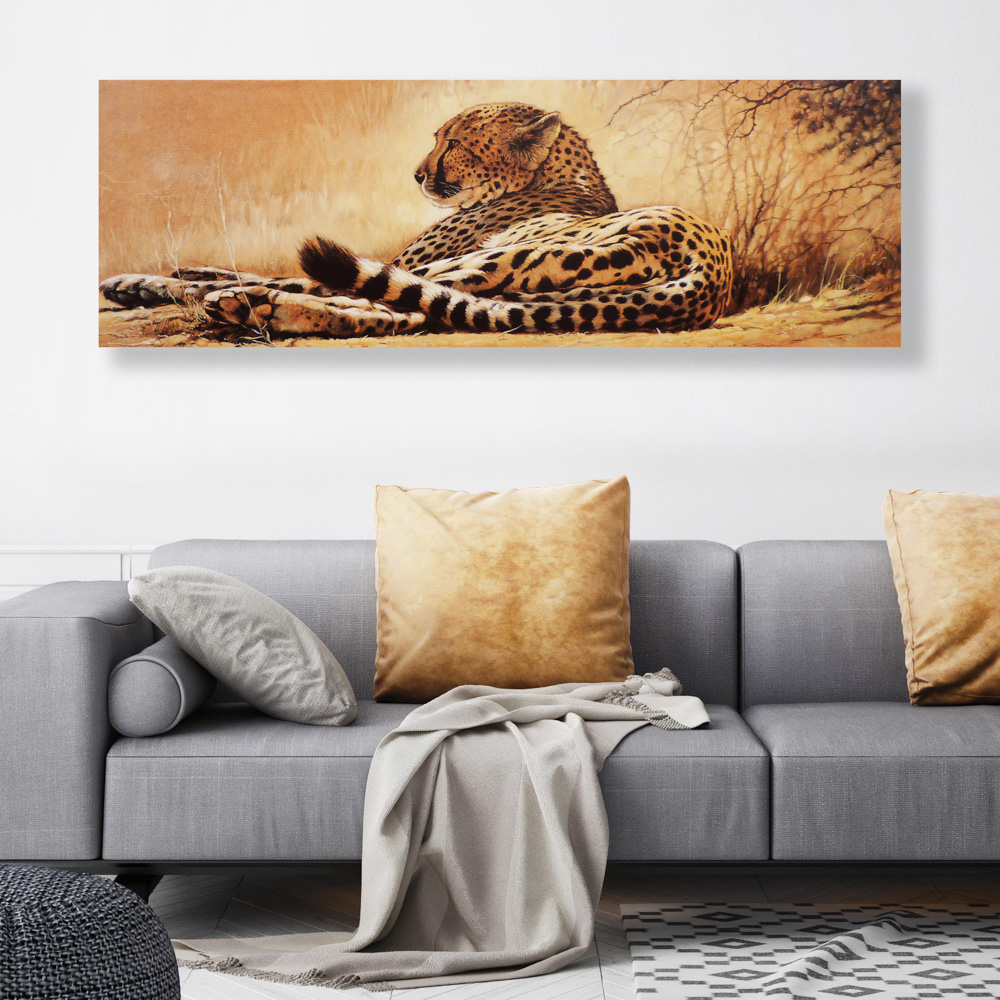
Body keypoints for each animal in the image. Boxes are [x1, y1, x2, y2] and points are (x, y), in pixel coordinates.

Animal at [100, 102, 733, 339]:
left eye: (453, 143)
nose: (417, 174)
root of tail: (705, 267)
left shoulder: (418, 258)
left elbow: (258, 271)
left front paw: (142, 282)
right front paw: (167, 276)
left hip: (485, 263)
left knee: (349, 293)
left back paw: (246, 305)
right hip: (519, 292)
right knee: (398, 312)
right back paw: (258, 309)